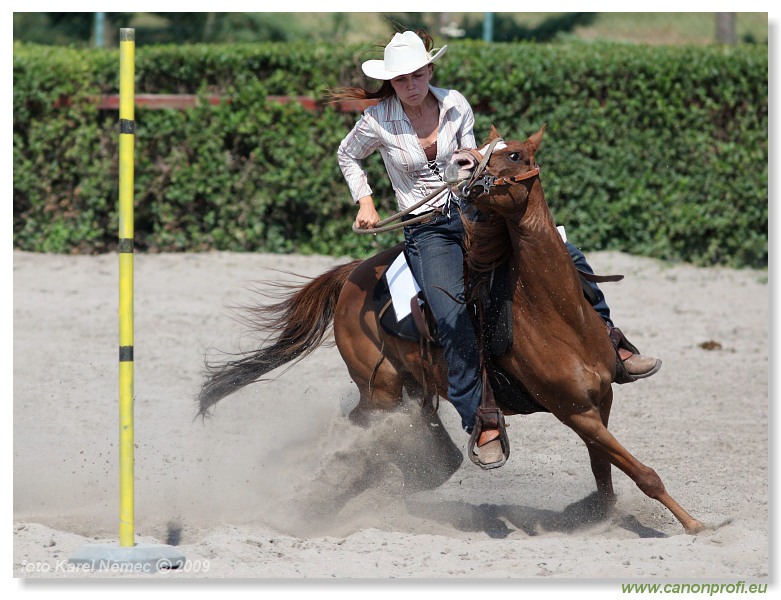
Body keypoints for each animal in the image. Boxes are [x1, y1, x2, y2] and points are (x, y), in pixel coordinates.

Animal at [198, 123, 704, 536]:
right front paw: (695, 524)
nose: (462, 165)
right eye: (481, 150)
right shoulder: (574, 410)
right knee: (361, 430)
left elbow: (605, 474)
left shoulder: (600, 400)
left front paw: (598, 516)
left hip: (411, 388)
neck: (556, 315)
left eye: (514, 154)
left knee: (434, 456)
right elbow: (642, 472)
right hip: (379, 389)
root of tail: (352, 274)